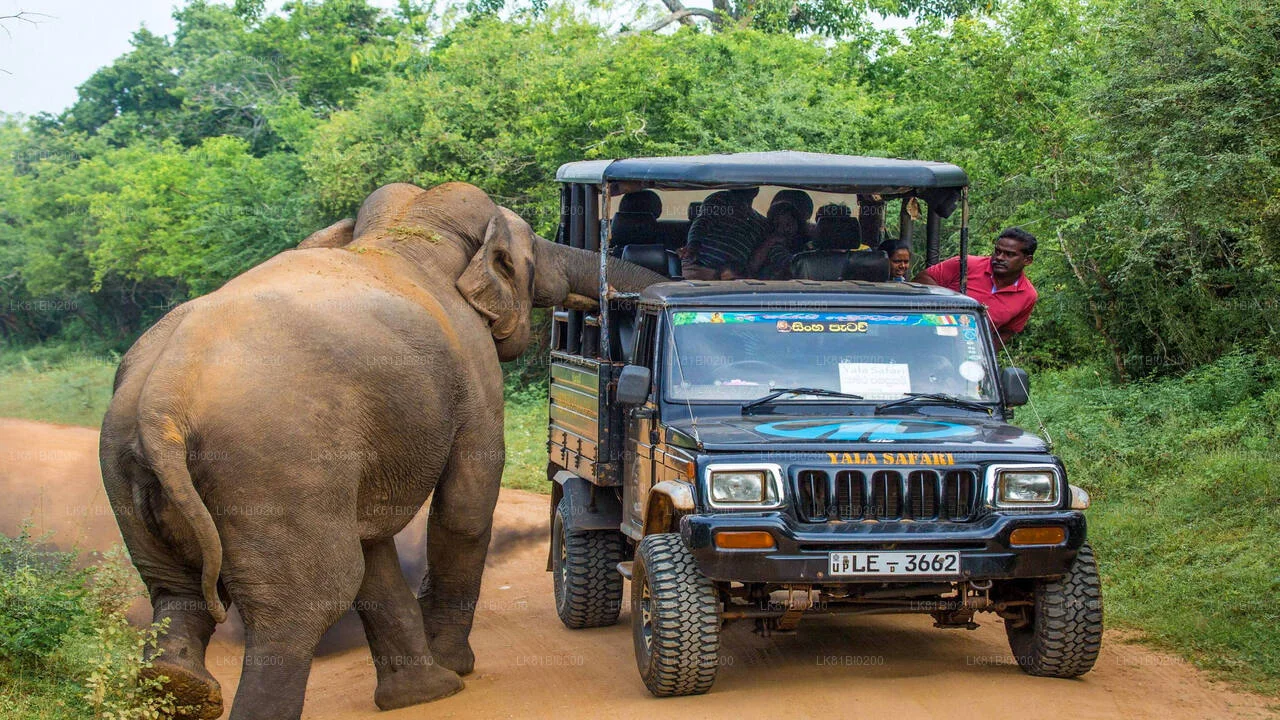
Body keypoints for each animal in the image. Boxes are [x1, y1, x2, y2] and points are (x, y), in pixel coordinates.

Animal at [98, 181, 660, 717]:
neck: (406, 235)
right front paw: (454, 667)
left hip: (126, 470)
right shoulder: (475, 374)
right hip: (273, 467)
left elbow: (374, 545)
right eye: (531, 255)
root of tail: (162, 398)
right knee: (308, 600)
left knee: (175, 590)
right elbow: (465, 509)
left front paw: (425, 693)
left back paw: (180, 683)